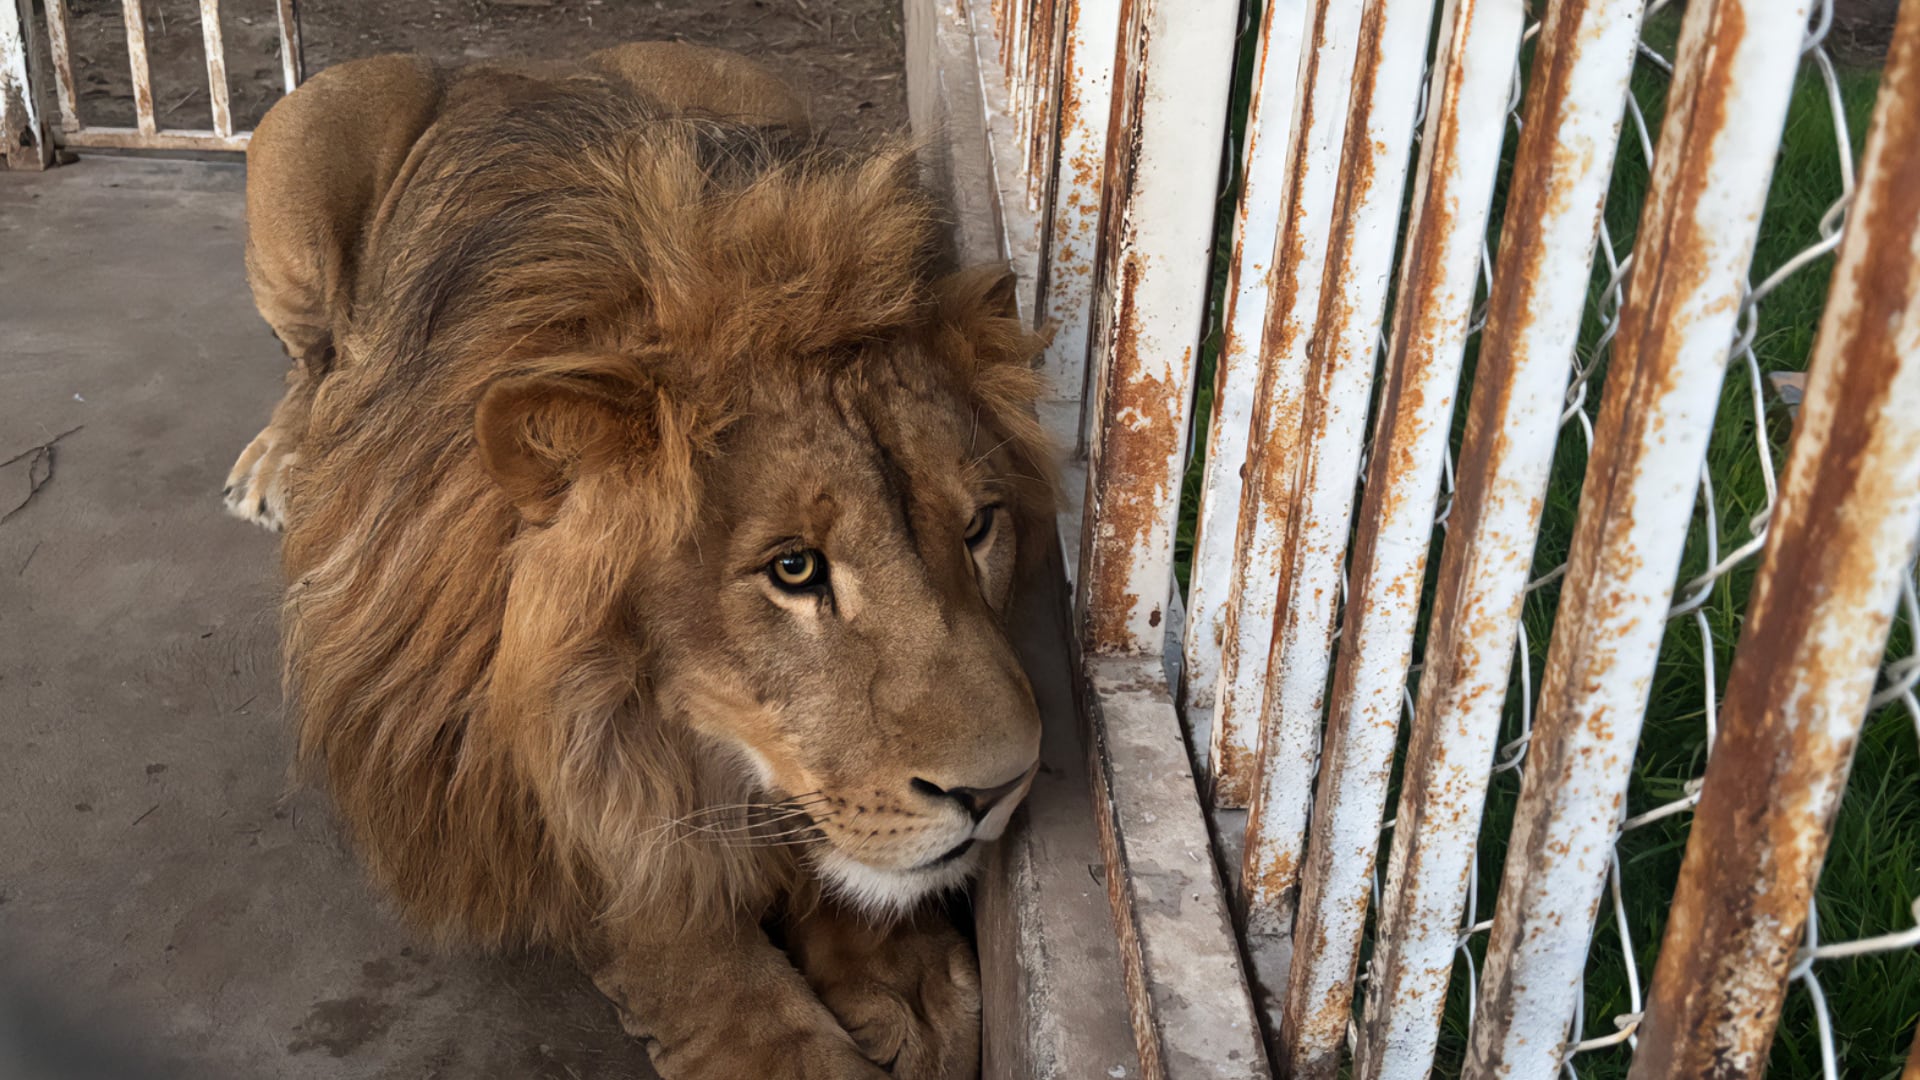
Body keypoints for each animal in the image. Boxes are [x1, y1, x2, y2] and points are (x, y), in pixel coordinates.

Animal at [222, 42, 1054, 1080]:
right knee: (312, 362)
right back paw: (278, 464)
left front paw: (900, 973)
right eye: (794, 569)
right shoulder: (487, 755)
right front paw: (781, 1029)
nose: (998, 790)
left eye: (979, 526)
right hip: (310, 141)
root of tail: (510, 67)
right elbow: (667, 918)